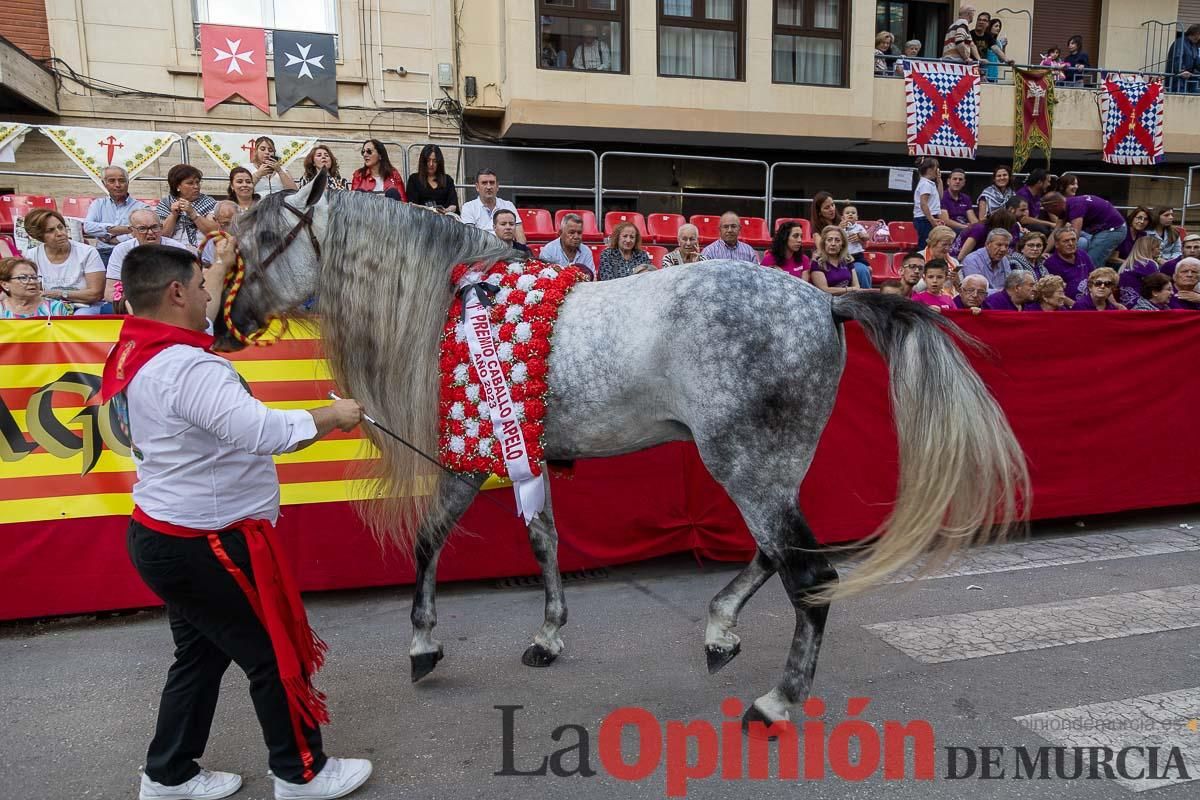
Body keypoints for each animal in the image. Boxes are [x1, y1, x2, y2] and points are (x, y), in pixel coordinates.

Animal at [220, 173, 1027, 724]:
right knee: (778, 555)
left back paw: (777, 698)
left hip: (747, 466)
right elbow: (544, 540)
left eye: (262, 243)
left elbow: (427, 541)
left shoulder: (469, 457)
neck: (452, 304)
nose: (232, 324)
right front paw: (548, 635)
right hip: (768, 467)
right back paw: (720, 630)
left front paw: (423, 644)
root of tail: (822, 301)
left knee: (809, 572)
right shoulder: (523, 454)